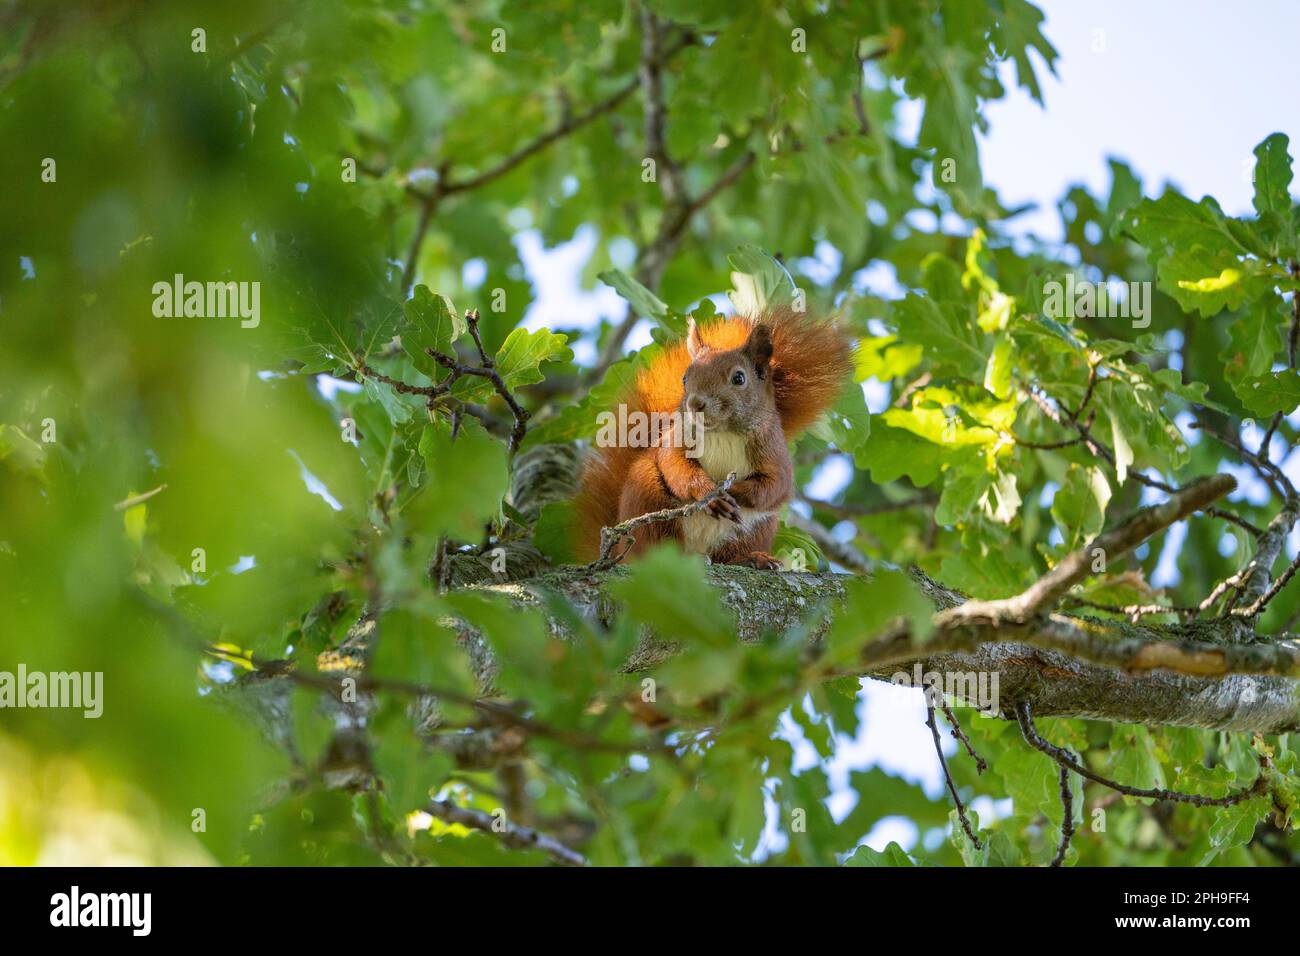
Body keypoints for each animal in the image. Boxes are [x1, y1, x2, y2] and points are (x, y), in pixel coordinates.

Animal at [575, 306, 853, 568]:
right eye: (684, 377)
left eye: (739, 378)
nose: (695, 403)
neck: (722, 432)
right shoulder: (675, 439)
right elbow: (675, 465)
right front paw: (710, 492)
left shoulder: (774, 451)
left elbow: (775, 485)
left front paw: (735, 491)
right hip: (648, 498)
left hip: (757, 529)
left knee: (728, 554)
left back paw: (752, 559)